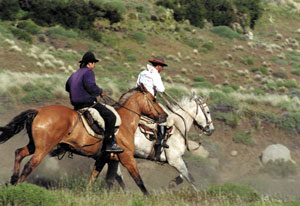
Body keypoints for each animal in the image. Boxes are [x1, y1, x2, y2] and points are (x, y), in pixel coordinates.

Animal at [0, 84, 166, 195]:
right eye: (153, 99)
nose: (164, 116)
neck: (124, 122)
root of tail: (38, 111)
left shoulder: (106, 159)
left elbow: (97, 179)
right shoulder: (127, 158)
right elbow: (138, 180)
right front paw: (148, 197)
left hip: (34, 145)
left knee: (19, 153)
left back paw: (12, 180)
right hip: (42, 149)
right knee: (30, 165)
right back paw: (18, 187)